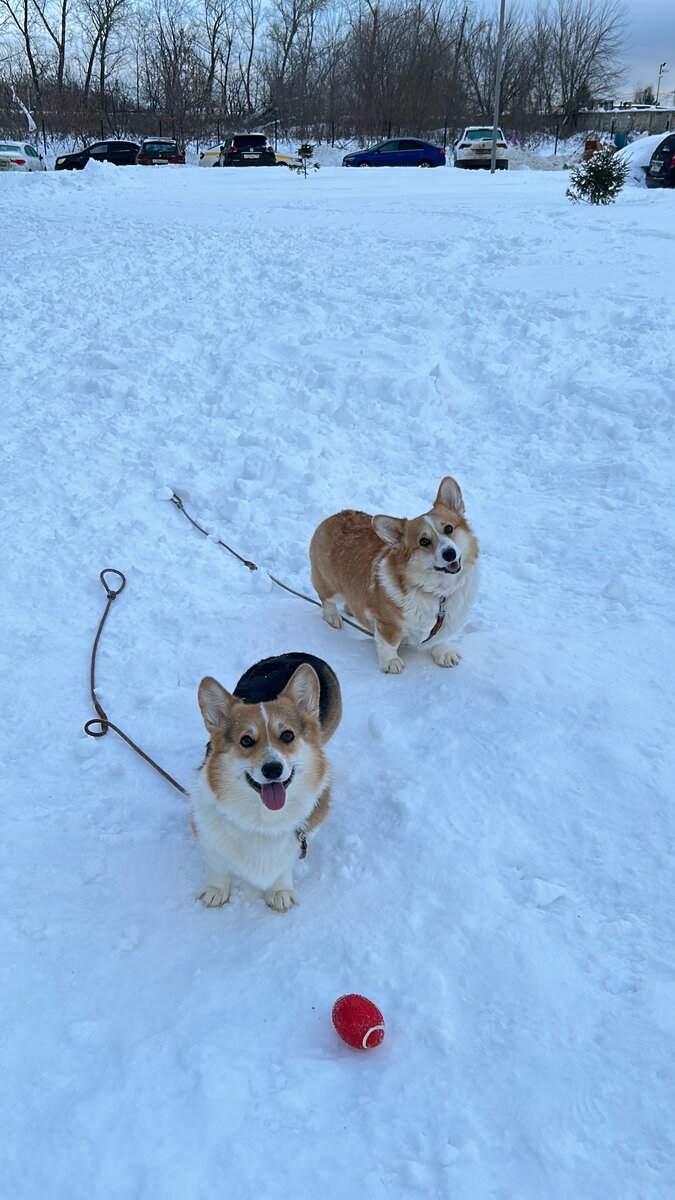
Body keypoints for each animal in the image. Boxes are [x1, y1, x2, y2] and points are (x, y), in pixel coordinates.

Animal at [190, 652, 338, 912]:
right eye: (246, 741)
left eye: (288, 735)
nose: (272, 769)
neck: (264, 820)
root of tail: (299, 653)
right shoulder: (204, 828)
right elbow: (216, 863)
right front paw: (216, 889)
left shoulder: (302, 836)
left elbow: (285, 864)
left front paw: (280, 891)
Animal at [309, 477, 478, 676]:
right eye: (424, 541)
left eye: (449, 528)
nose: (450, 554)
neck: (439, 593)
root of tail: (335, 516)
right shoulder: (388, 624)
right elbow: (389, 643)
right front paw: (391, 662)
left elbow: (440, 638)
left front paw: (443, 652)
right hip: (329, 585)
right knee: (326, 599)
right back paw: (333, 617)